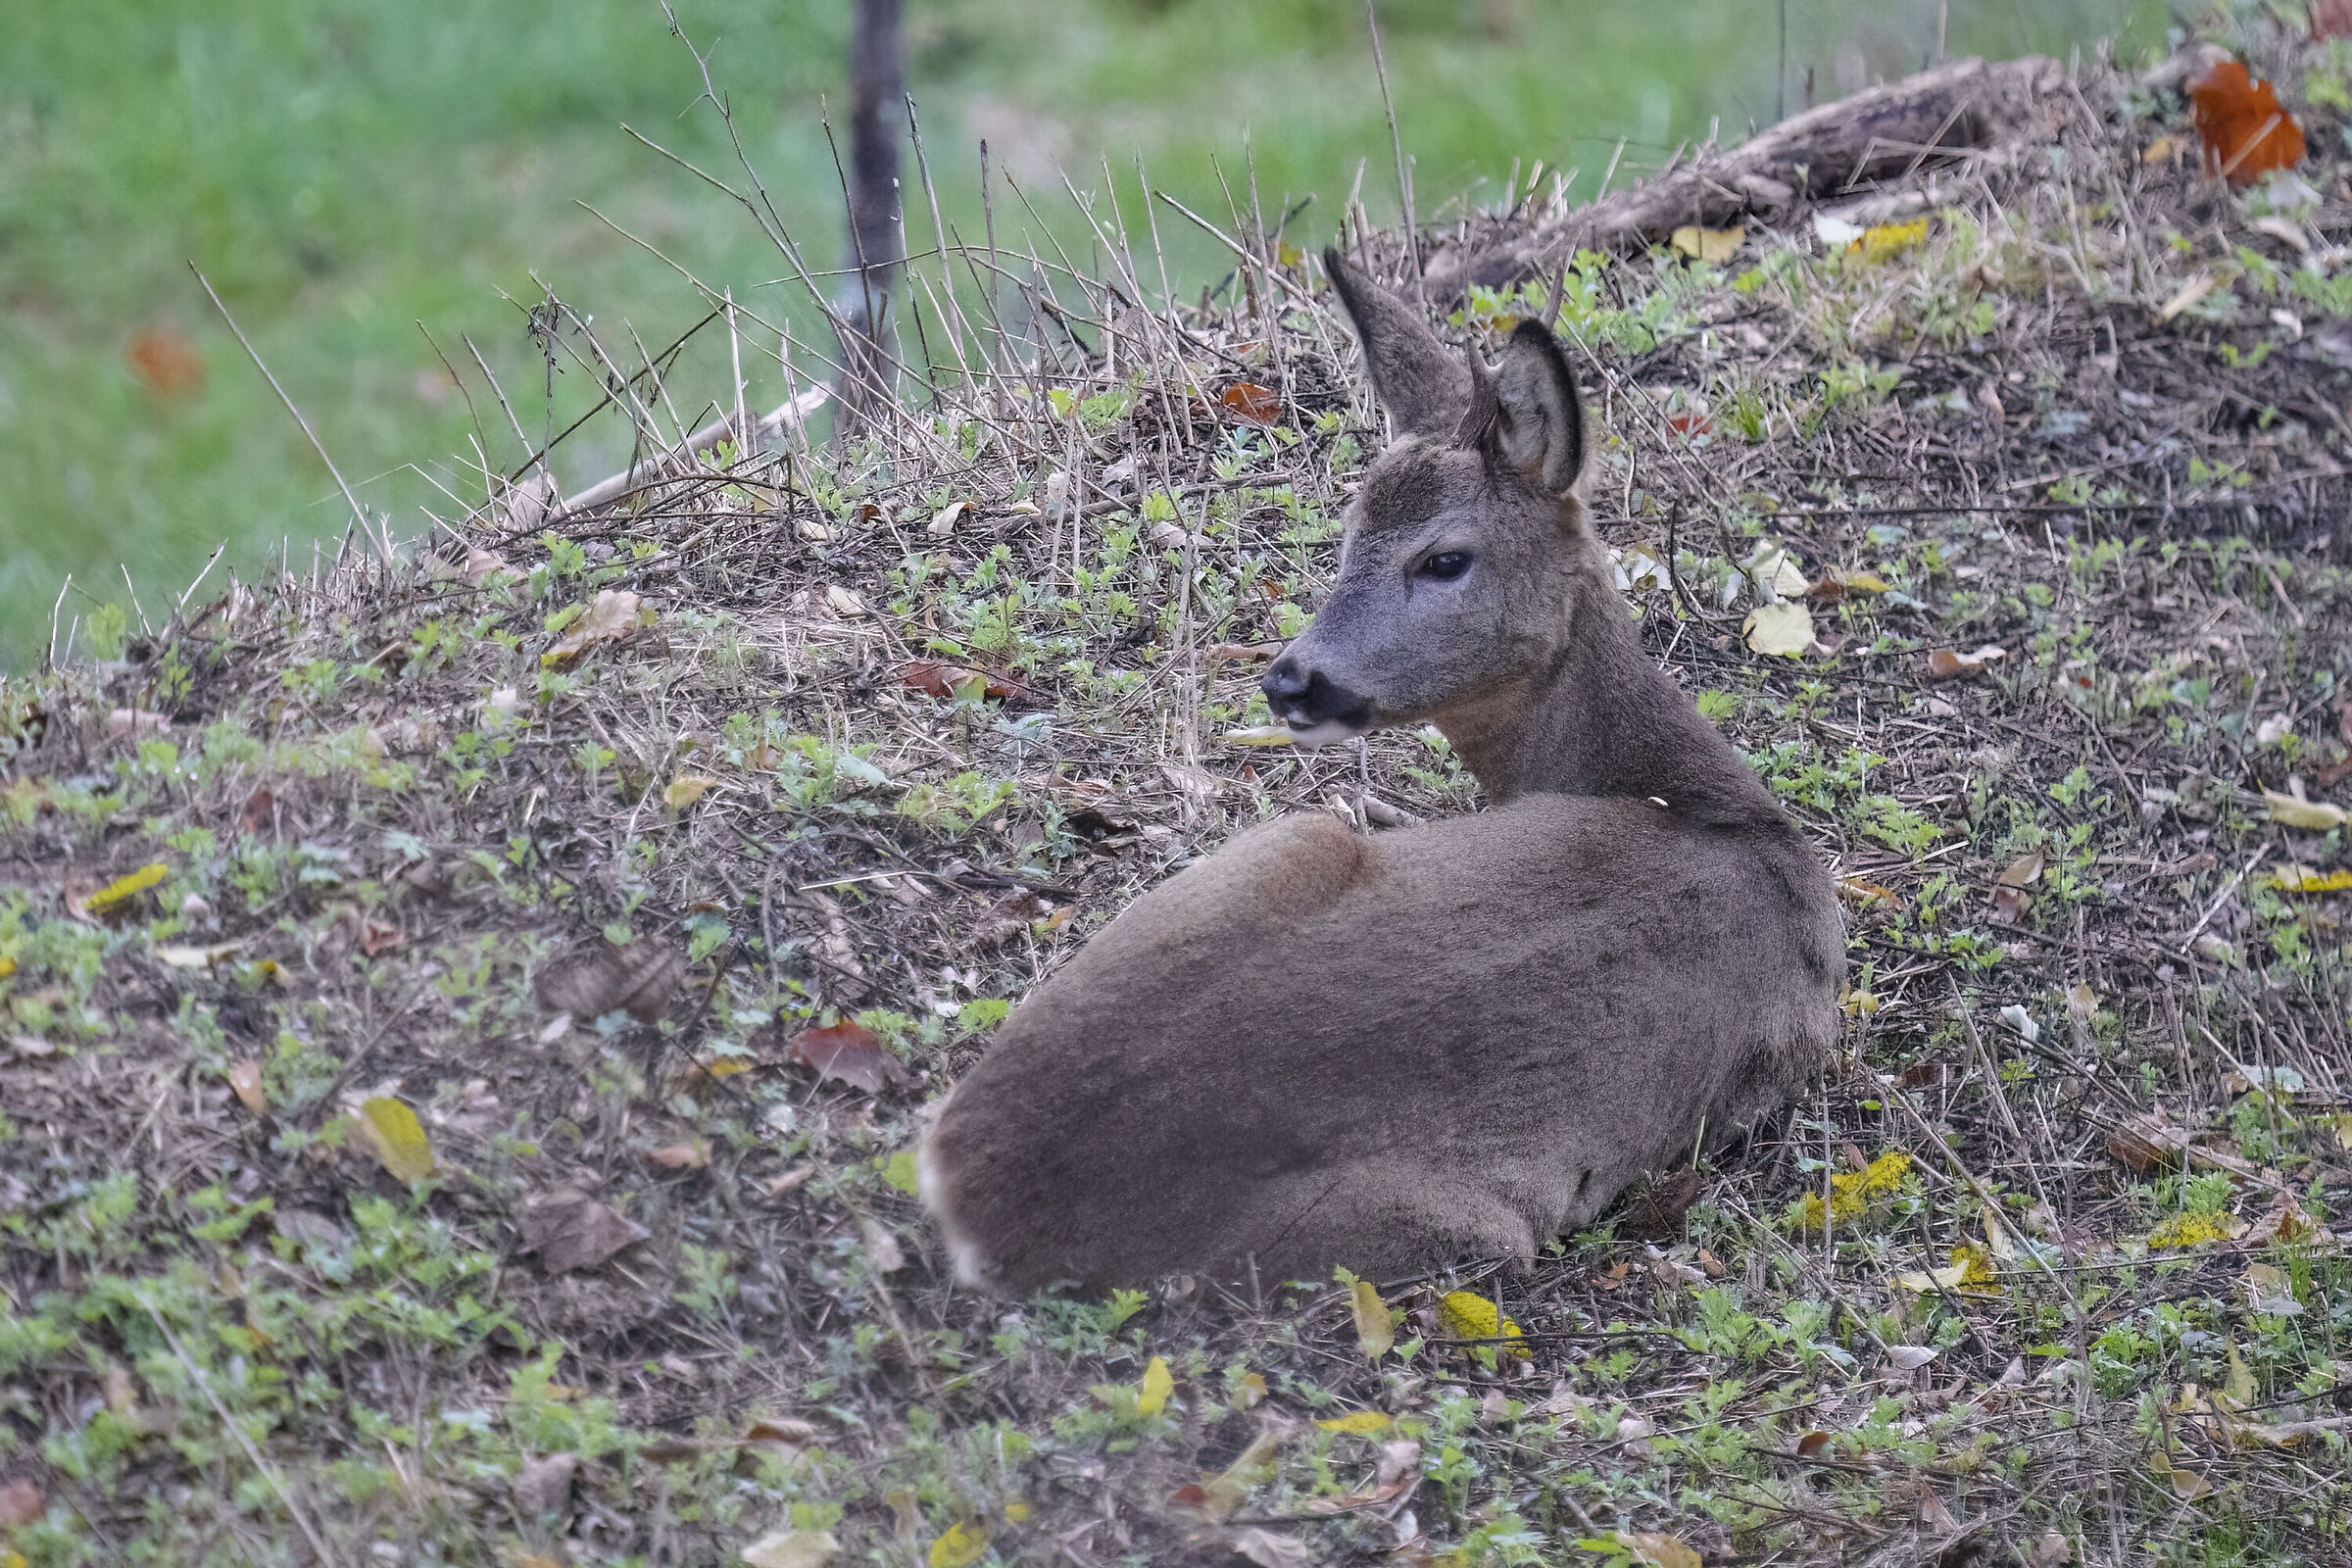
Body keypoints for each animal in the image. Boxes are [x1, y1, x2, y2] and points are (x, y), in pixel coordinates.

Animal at [916, 252, 1845, 1297]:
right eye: (1349, 529)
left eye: (1444, 558)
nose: (1291, 677)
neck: (1709, 808)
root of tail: (965, 1197)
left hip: (1290, 854)